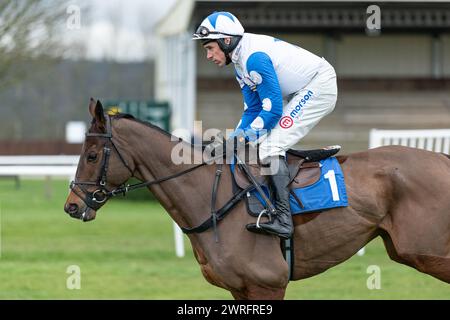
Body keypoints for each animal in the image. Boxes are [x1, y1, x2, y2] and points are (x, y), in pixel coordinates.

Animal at [64, 99, 450, 300]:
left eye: (93, 155)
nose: (72, 205)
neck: (210, 199)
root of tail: (442, 158)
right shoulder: (240, 289)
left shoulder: (267, 284)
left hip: (425, 251)